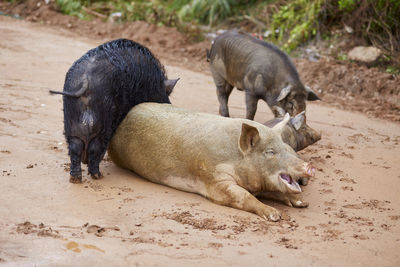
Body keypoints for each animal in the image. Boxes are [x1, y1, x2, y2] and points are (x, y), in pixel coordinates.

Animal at [51, 38, 178, 184]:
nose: (168, 104)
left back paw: (76, 179)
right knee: (95, 148)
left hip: (71, 122)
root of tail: (86, 80)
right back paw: (98, 176)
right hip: (104, 124)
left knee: (75, 147)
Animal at [108, 102, 314, 222]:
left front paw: (302, 203)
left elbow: (277, 192)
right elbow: (244, 196)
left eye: (287, 147)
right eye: (270, 152)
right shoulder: (216, 181)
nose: (309, 167)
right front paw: (275, 216)